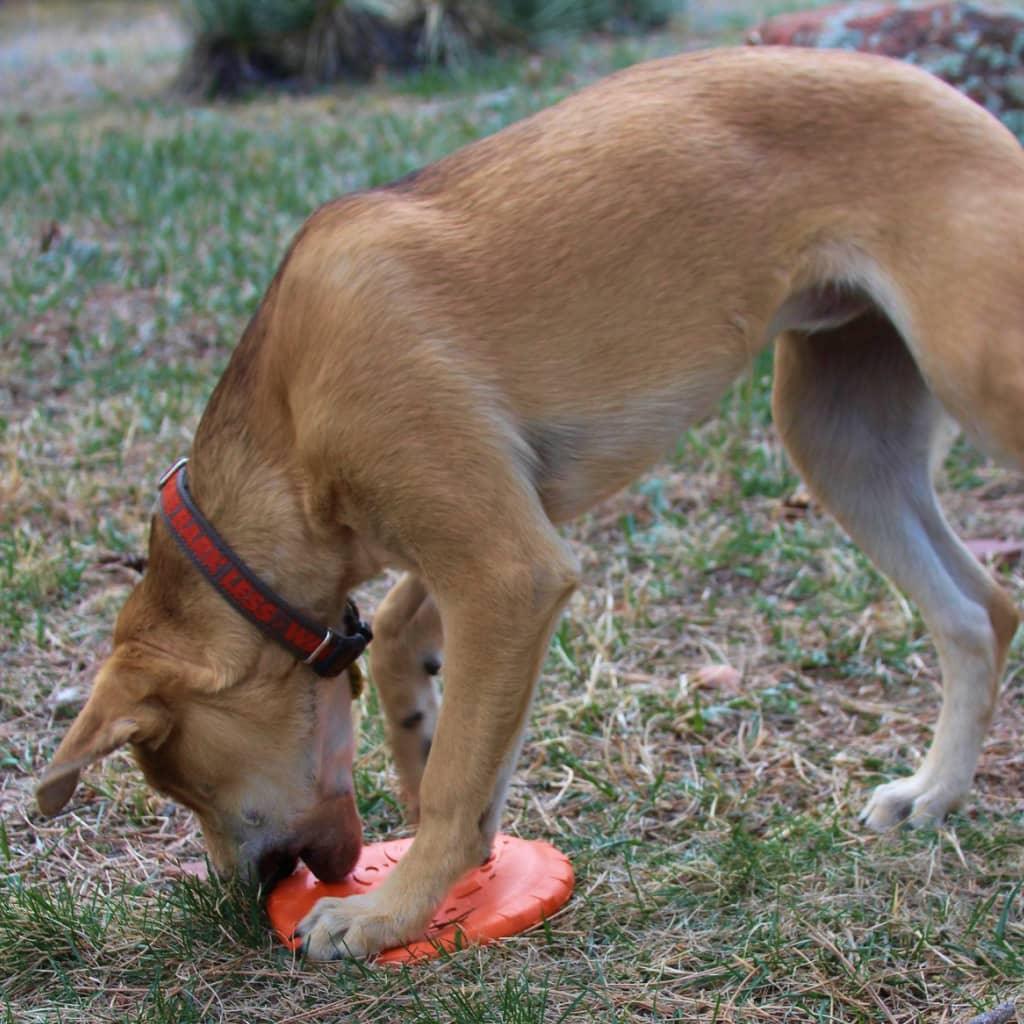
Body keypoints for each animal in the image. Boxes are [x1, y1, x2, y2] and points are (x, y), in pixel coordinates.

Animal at [36, 46, 1019, 958]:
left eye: (191, 786)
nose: (248, 898)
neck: (287, 418)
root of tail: (965, 104)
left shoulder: (507, 569)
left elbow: (456, 775)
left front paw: (386, 913)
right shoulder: (494, 545)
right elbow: (416, 670)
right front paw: (430, 782)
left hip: (976, 382)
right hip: (841, 435)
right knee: (979, 610)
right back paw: (935, 792)